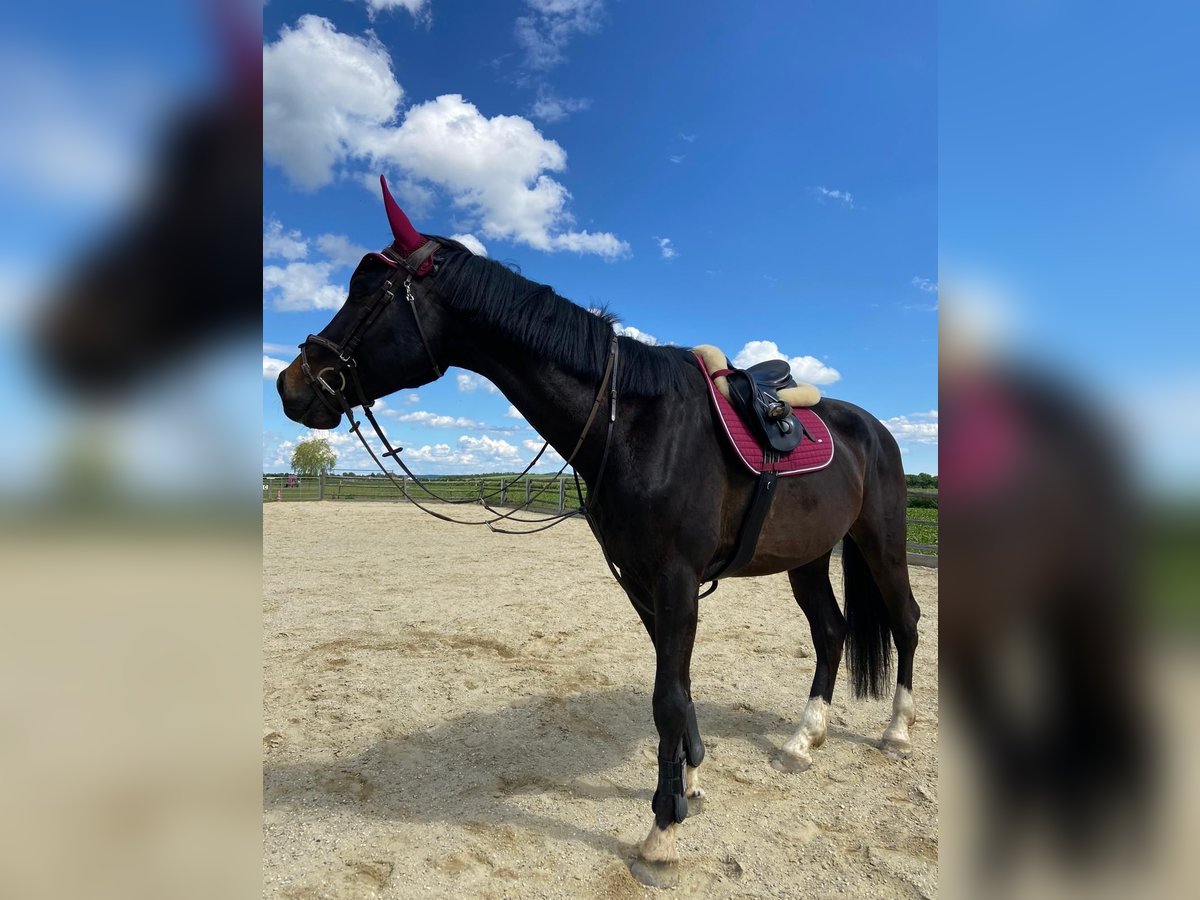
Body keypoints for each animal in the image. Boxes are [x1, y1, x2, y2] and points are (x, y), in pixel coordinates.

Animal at [278, 176, 916, 868]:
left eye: (368, 290)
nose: (291, 384)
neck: (634, 423)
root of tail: (873, 428)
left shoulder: (675, 578)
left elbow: (668, 696)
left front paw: (662, 831)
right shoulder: (638, 579)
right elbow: (676, 683)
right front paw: (690, 778)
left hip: (881, 541)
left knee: (905, 620)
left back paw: (897, 731)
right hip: (808, 556)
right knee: (830, 630)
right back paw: (803, 740)